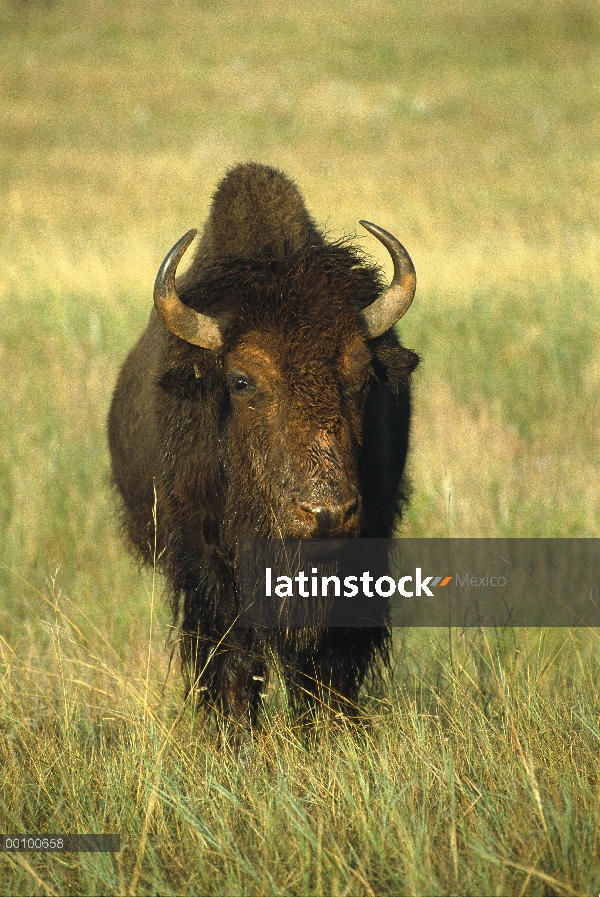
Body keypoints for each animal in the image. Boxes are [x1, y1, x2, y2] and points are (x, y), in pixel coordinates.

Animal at [106, 163, 418, 728]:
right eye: (242, 381)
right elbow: (232, 661)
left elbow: (330, 665)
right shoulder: (208, 570)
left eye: (362, 377)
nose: (325, 513)